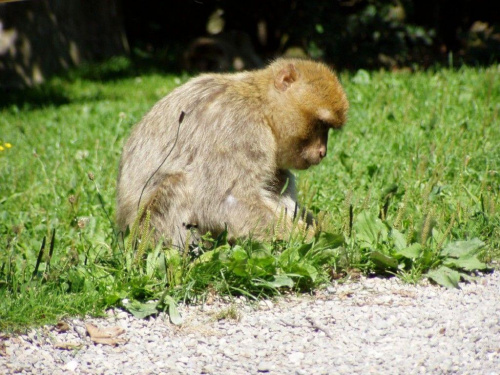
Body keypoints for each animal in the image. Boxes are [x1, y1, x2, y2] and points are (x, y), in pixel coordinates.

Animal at [117, 58, 350, 250]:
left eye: (327, 127)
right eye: (321, 124)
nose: (323, 151)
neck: (260, 105)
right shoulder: (238, 127)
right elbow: (224, 200)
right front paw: (312, 239)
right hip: (151, 231)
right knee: (179, 184)